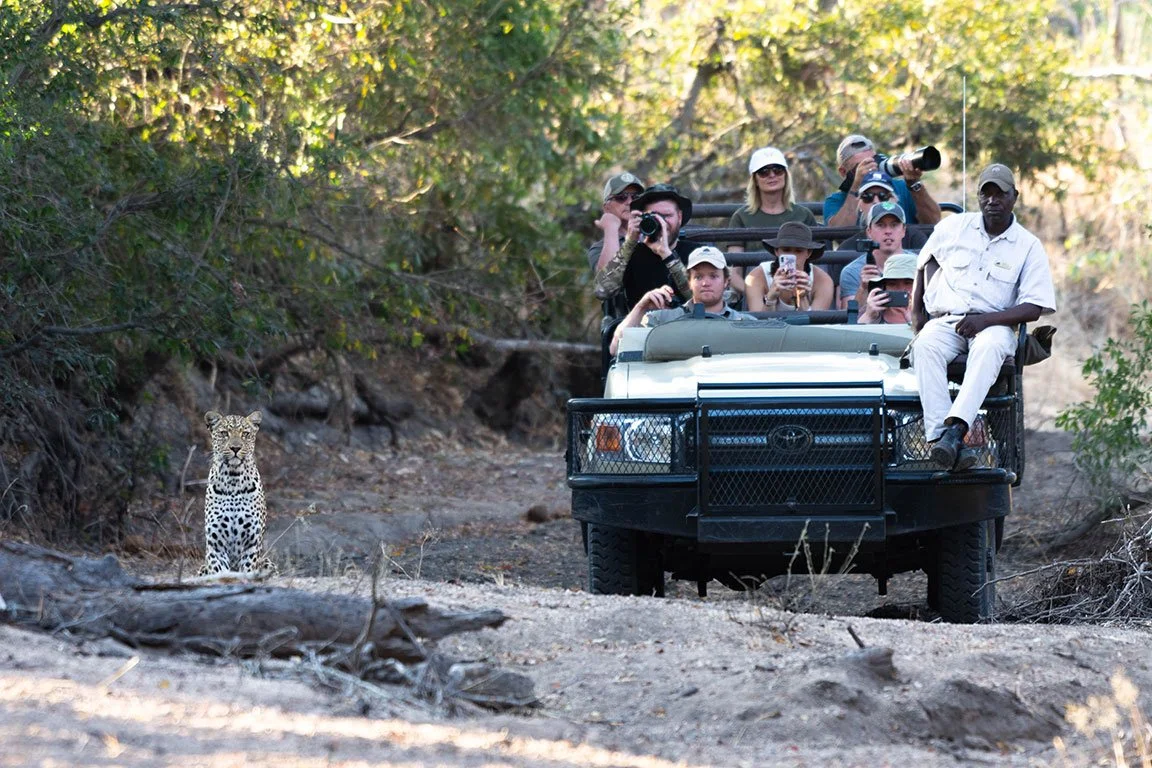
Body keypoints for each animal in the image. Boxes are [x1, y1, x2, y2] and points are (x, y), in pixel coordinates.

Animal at [198, 410, 277, 576]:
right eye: (224, 433)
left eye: (245, 434)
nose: (235, 448)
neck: (233, 479)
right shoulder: (215, 545)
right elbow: (220, 571)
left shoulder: (252, 542)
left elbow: (247, 570)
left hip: (268, 563)